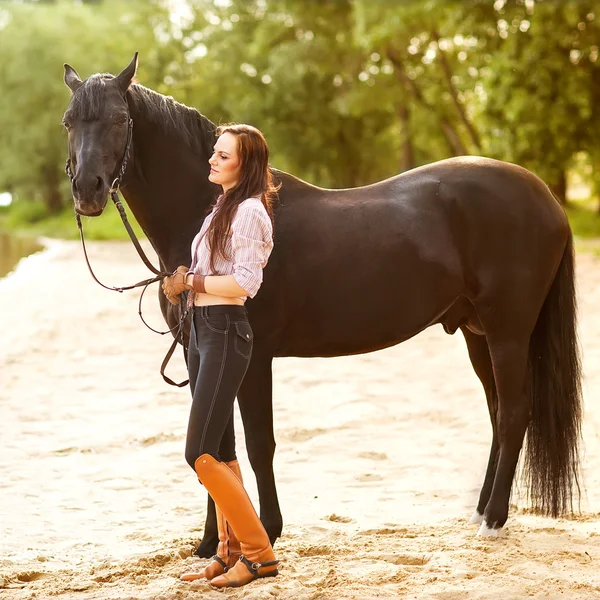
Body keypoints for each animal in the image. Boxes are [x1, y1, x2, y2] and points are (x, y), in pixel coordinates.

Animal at [62, 54, 580, 552]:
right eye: (69, 120)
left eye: (119, 119)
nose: (87, 190)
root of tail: (548, 199)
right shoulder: (199, 354)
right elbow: (214, 445)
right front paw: (211, 545)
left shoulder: (253, 357)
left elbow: (258, 445)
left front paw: (268, 532)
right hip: (478, 333)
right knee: (497, 412)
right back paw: (481, 512)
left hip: (507, 331)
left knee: (514, 414)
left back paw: (492, 520)